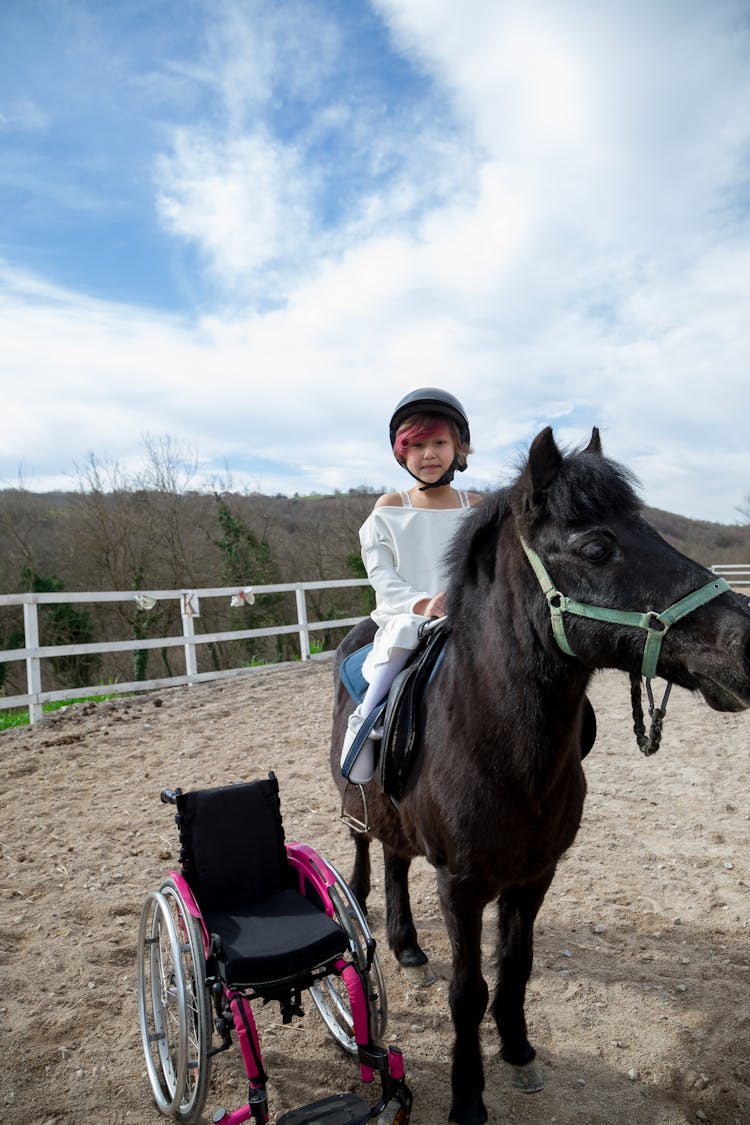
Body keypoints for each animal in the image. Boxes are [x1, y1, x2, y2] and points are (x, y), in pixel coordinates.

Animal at [330, 423, 750, 1125]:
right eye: (598, 546)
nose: (747, 643)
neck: (499, 753)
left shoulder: (535, 876)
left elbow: (517, 966)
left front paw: (519, 1050)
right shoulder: (461, 886)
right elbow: (467, 992)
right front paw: (468, 1094)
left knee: (394, 857)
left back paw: (409, 948)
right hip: (358, 806)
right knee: (367, 853)